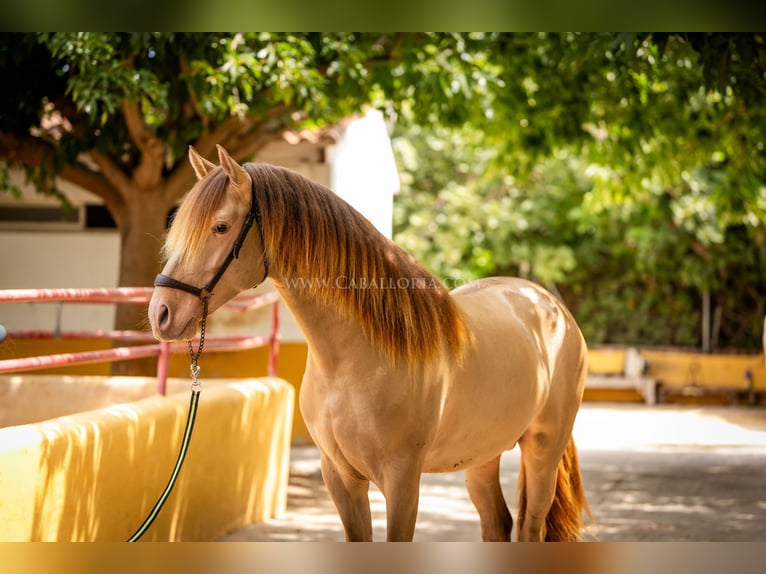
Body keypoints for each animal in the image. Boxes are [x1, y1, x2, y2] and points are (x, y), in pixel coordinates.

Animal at [148, 146, 592, 544]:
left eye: (221, 227)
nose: (161, 313)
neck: (353, 362)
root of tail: (549, 305)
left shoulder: (402, 480)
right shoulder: (340, 477)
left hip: (543, 451)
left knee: (530, 528)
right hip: (481, 456)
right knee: (497, 524)